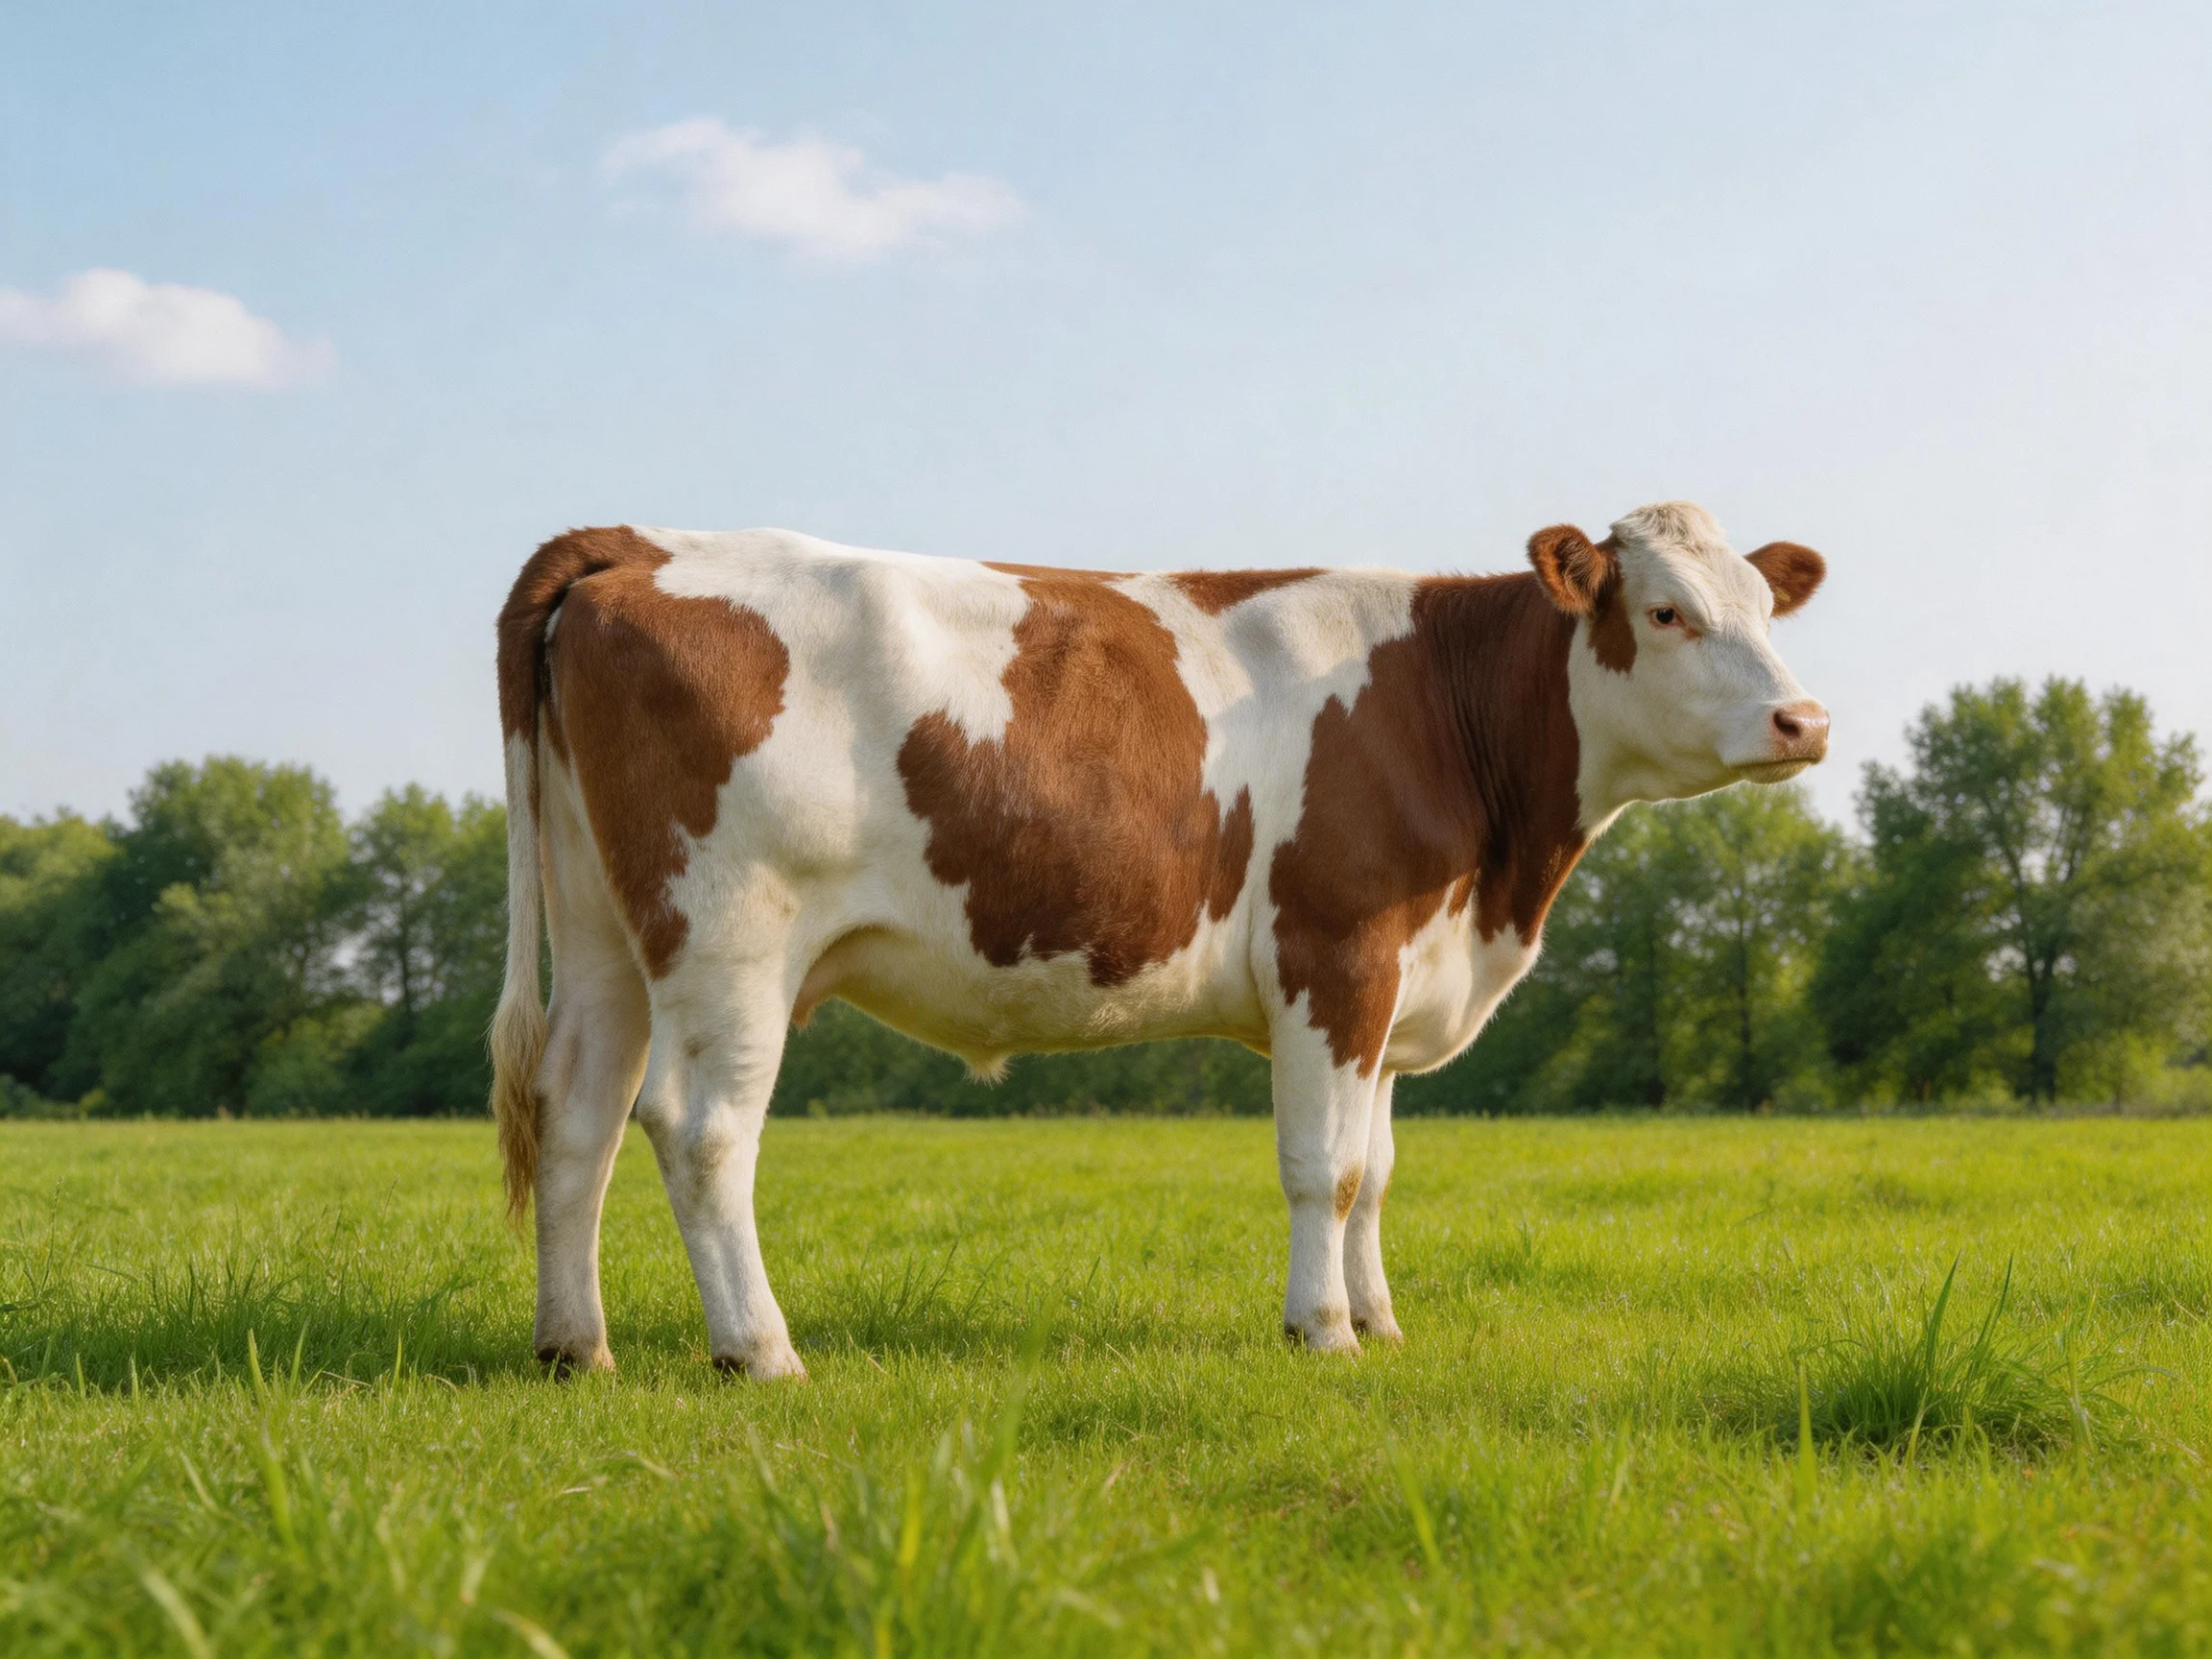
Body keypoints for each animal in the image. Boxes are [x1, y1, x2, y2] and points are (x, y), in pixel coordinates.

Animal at [489, 500, 1828, 1378]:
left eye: (1769, 607)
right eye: (1666, 611)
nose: (1803, 719)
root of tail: (645, 542)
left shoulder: (1395, 985)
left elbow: (1378, 1168)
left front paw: (1380, 1321)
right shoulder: (1334, 954)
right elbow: (1325, 1169)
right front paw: (1322, 1335)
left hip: (606, 933)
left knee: (577, 1114)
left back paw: (575, 1347)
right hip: (730, 936)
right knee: (699, 1130)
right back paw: (760, 1352)